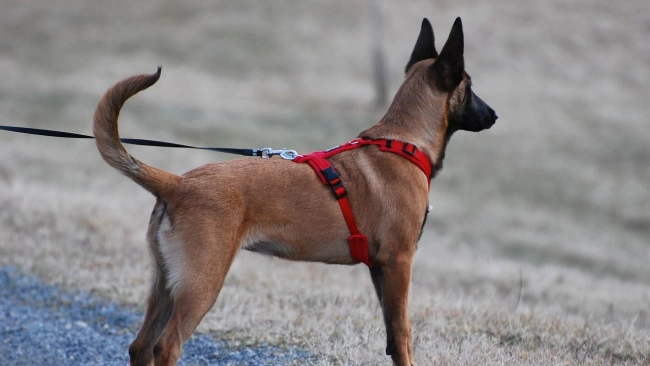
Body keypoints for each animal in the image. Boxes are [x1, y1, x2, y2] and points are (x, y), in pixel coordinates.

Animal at [92, 16, 496, 366]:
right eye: (470, 85)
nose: (493, 115)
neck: (402, 141)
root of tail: (177, 183)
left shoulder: (381, 269)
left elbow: (391, 339)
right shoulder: (399, 261)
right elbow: (403, 335)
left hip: (165, 283)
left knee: (140, 346)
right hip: (201, 283)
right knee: (166, 347)